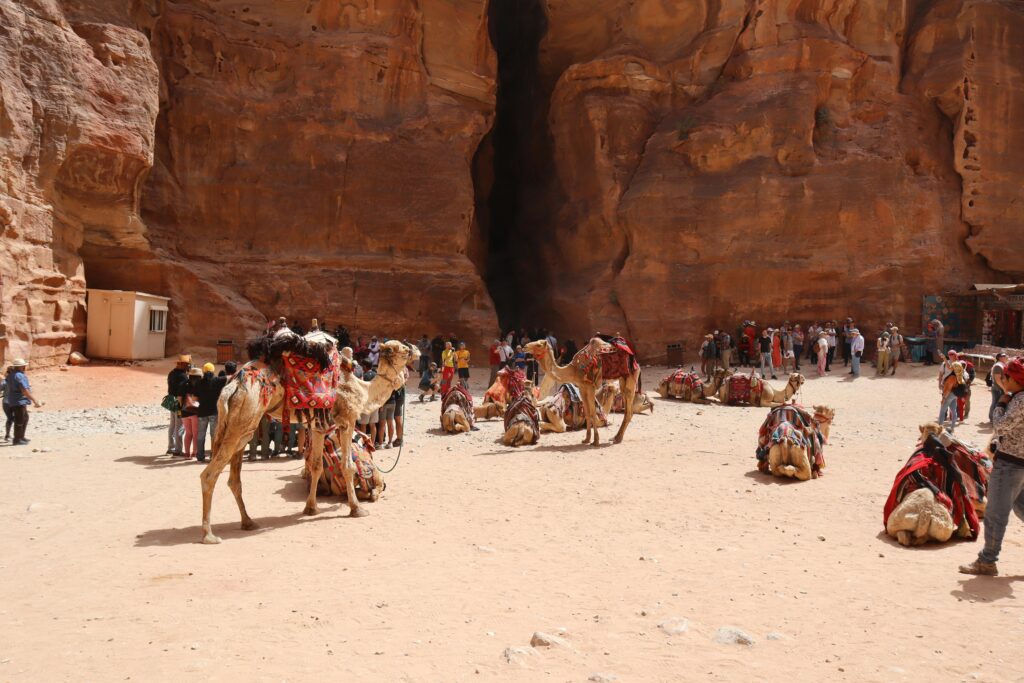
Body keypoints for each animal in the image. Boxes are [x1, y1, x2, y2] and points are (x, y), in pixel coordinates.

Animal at [203, 331, 415, 544]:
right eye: (403, 349)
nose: (415, 350)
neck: (362, 390)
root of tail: (232, 386)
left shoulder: (319, 428)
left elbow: (316, 466)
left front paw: (311, 508)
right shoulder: (347, 421)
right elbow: (348, 466)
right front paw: (356, 509)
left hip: (241, 426)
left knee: (234, 478)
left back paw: (248, 522)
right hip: (245, 417)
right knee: (209, 475)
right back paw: (209, 535)